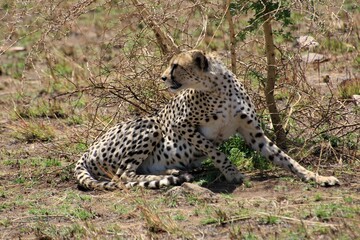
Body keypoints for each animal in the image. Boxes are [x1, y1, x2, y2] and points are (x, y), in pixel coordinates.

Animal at [74, 49, 338, 190]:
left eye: (175, 66)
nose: (162, 77)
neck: (218, 88)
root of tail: (86, 151)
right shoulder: (181, 126)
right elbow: (216, 150)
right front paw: (233, 174)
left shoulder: (254, 134)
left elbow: (285, 159)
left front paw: (317, 177)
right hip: (150, 124)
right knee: (123, 176)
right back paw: (172, 177)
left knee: (130, 173)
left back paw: (177, 171)